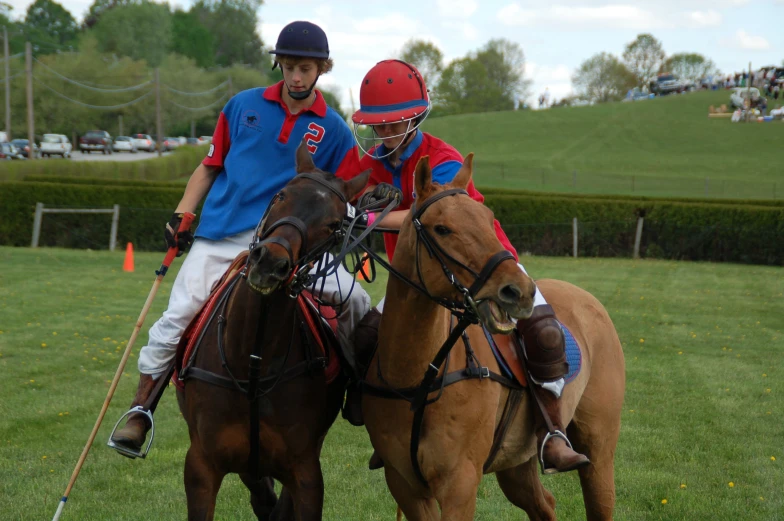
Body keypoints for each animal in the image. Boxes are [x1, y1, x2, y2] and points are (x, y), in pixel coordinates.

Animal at [362, 154, 624, 520]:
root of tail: (588, 297)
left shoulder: (459, 483)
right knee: (545, 504)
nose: (521, 290)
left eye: (489, 219)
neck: (419, 377)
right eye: (442, 228)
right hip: (516, 461)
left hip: (598, 447)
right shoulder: (404, 484)